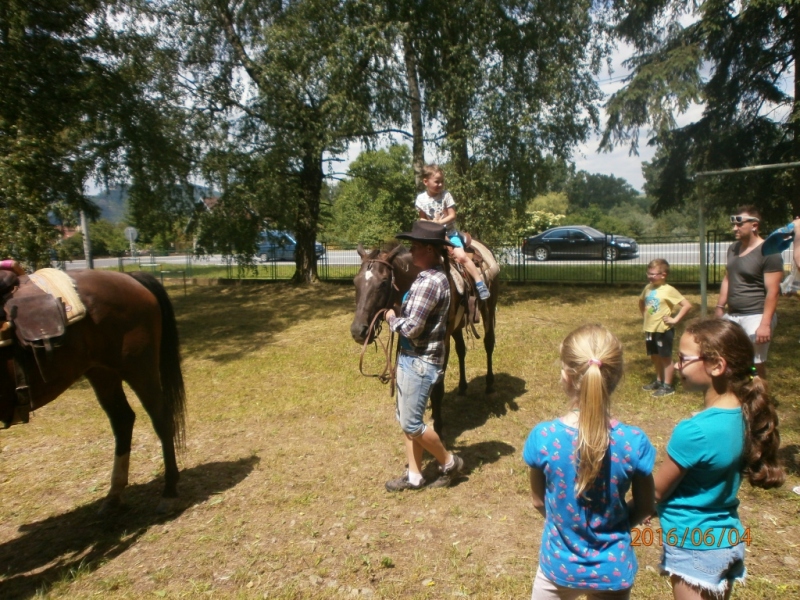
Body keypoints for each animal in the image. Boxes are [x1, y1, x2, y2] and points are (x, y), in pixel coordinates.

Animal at [0, 270, 186, 510]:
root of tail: (130, 277)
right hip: (102, 372)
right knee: (123, 419)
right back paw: (114, 494)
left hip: (138, 367)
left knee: (161, 417)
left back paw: (169, 491)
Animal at [354, 244, 496, 436]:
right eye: (355, 282)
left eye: (383, 282)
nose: (358, 331)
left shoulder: (442, 341)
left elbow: (437, 387)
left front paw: (438, 427)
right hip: (457, 326)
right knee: (461, 350)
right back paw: (462, 386)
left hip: (489, 308)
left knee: (489, 343)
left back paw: (489, 385)